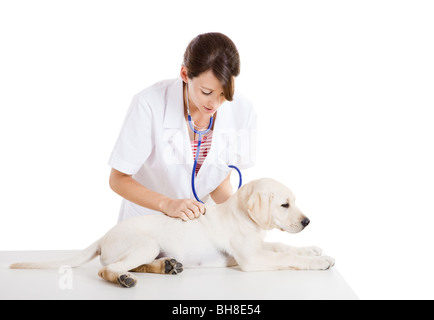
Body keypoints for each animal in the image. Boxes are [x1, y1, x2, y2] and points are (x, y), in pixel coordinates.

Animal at [10, 178, 336, 288]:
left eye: (294, 202)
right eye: (285, 204)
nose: (307, 221)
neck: (242, 215)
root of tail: (104, 236)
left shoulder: (259, 247)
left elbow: (284, 247)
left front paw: (313, 249)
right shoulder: (253, 260)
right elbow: (288, 257)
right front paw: (319, 261)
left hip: (149, 249)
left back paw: (166, 266)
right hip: (144, 244)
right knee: (108, 270)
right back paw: (125, 279)